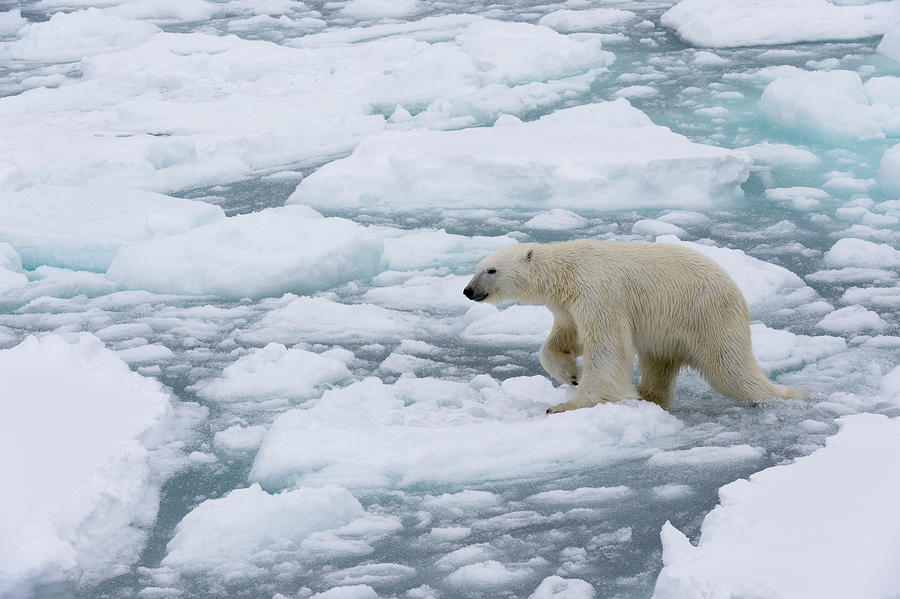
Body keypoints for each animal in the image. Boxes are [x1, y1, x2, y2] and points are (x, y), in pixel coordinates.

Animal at [464, 239, 800, 412]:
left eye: (491, 270)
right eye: (477, 268)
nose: (468, 291)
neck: (567, 270)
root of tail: (736, 291)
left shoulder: (598, 290)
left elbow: (606, 345)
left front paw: (567, 404)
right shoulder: (568, 304)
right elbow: (564, 338)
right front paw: (570, 374)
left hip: (707, 316)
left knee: (731, 369)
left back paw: (787, 396)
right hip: (668, 330)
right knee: (658, 362)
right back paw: (647, 394)